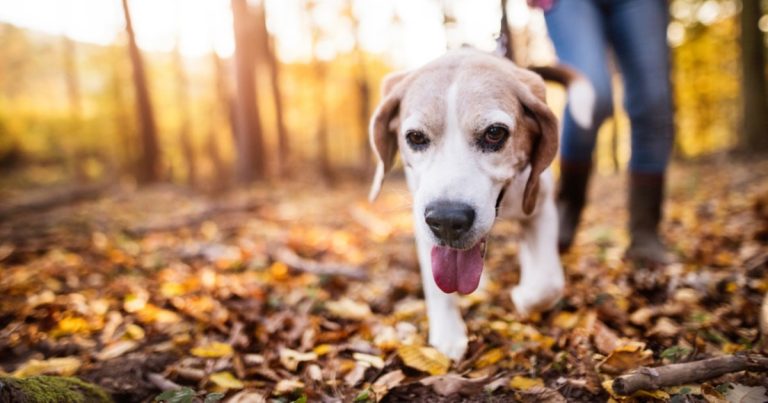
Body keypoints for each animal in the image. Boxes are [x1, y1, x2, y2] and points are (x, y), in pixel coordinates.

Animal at [366, 49, 592, 362]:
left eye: (495, 133)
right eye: (415, 137)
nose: (447, 221)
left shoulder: (540, 207)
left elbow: (548, 283)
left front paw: (524, 297)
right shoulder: (422, 223)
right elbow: (437, 287)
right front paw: (449, 334)